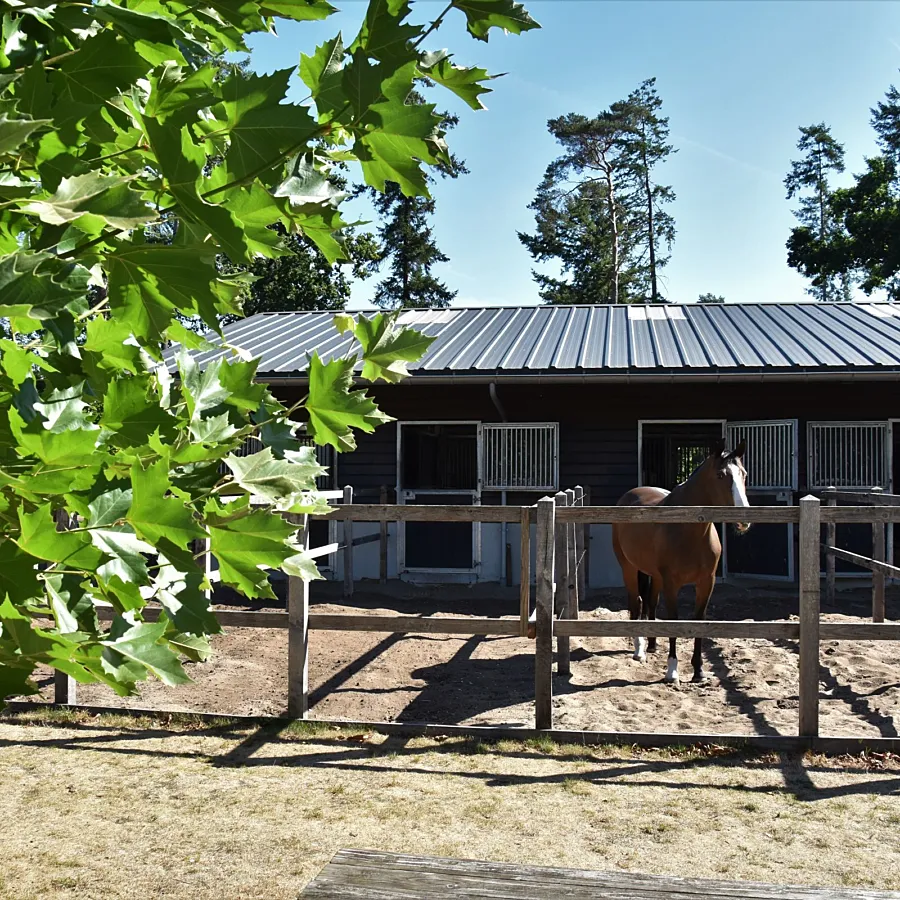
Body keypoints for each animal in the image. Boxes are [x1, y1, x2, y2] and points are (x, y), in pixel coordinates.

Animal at [611, 440, 750, 684]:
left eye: (743, 474)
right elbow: (674, 620)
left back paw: (652, 644)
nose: (743, 520)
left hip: (654, 575)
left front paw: (698, 671)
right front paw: (672, 670)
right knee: (636, 601)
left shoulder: (706, 583)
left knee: (651, 602)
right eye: (720, 475)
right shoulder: (672, 584)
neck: (689, 530)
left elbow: (698, 622)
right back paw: (639, 650)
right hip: (629, 568)